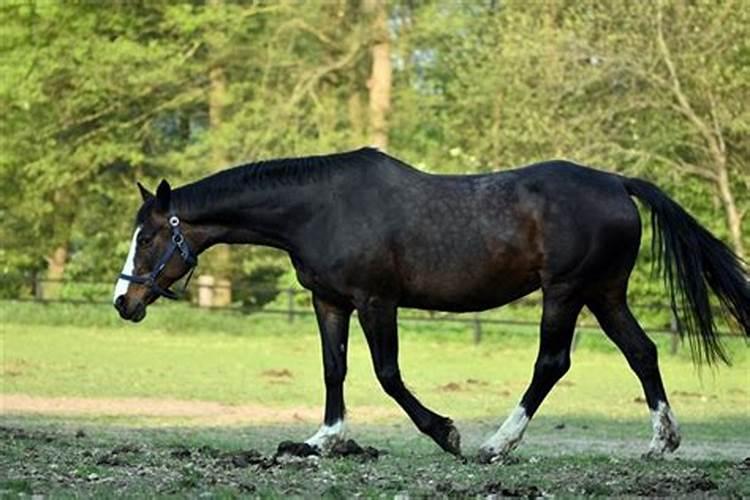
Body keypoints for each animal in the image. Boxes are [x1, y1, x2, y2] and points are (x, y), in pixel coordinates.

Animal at [113, 146, 750, 460]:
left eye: (148, 237)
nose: (124, 302)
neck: (320, 208)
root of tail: (619, 183)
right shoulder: (329, 302)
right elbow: (334, 370)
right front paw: (324, 440)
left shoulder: (376, 301)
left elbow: (388, 374)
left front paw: (445, 432)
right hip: (604, 293)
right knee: (642, 352)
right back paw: (661, 441)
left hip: (566, 292)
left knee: (551, 363)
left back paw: (496, 445)